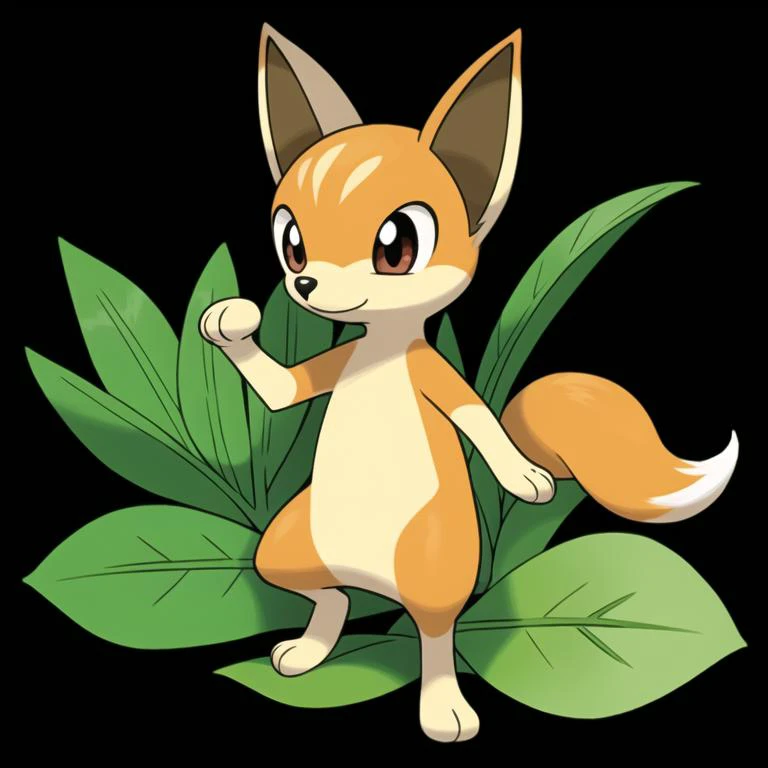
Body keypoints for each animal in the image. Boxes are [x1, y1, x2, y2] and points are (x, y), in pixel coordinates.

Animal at [200, 24, 739, 742]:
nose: (305, 284)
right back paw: (312, 647)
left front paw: (525, 478)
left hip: (434, 564)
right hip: (291, 542)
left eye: (396, 247)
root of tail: (373, 582)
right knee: (324, 591)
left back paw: (443, 707)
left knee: (435, 635)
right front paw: (226, 323)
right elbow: (284, 393)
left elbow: (476, 417)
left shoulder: (434, 375)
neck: (380, 350)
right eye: (291, 242)